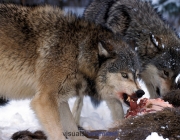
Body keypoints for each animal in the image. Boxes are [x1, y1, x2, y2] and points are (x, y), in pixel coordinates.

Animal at [0, 3, 144, 139]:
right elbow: (58, 134)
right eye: (124, 75)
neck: (77, 54)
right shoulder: (45, 100)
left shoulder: (60, 100)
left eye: (136, 75)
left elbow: (73, 128)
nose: (141, 92)